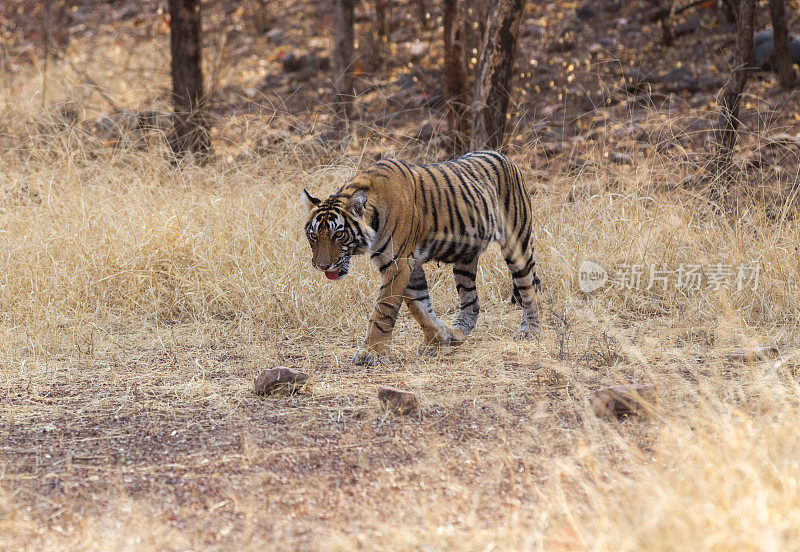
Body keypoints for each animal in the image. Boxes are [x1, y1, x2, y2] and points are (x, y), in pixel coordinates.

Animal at [304, 151, 540, 366]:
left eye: (338, 234)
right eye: (313, 236)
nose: (322, 265)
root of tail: (507, 158)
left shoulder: (397, 263)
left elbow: (384, 309)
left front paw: (372, 353)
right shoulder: (409, 263)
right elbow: (420, 306)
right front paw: (437, 340)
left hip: (517, 245)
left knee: (530, 289)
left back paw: (530, 331)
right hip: (464, 259)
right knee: (471, 301)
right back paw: (456, 333)